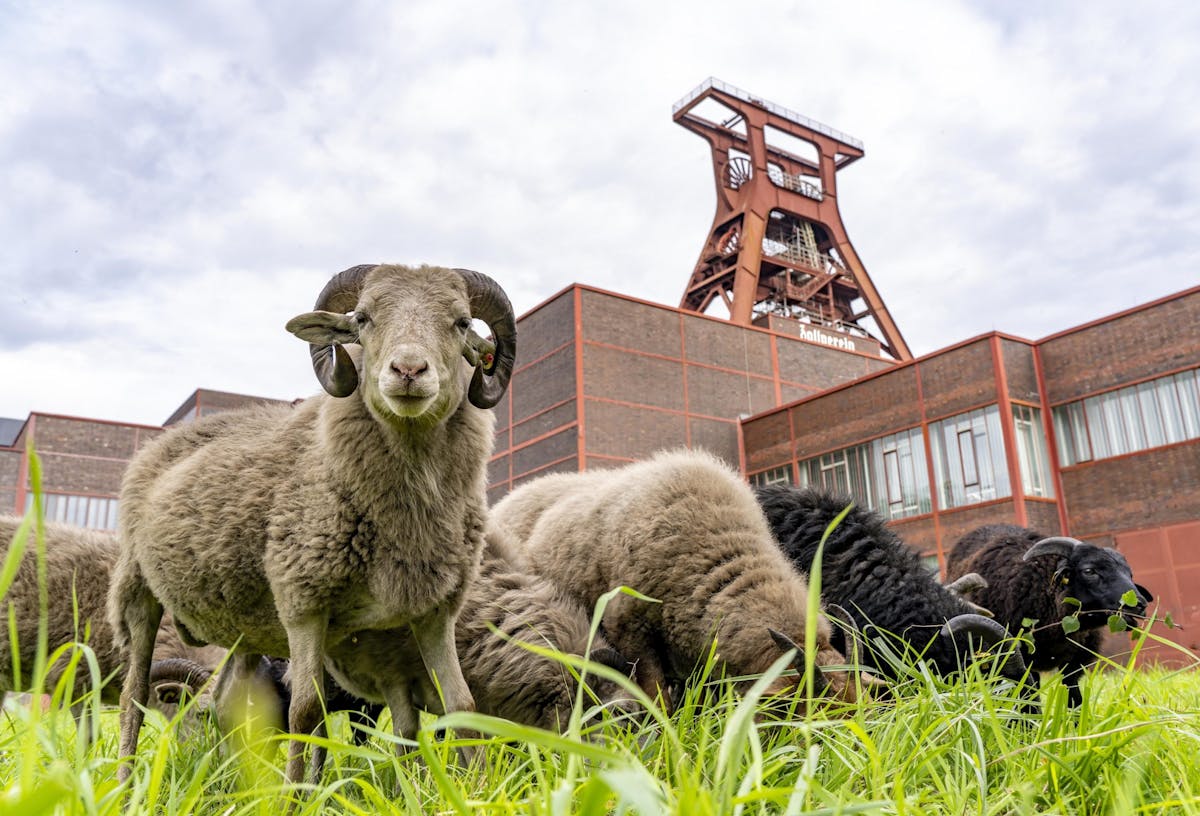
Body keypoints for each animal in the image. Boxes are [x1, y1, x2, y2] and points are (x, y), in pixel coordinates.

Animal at [107, 263, 516, 785]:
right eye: (362, 319)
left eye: (462, 322)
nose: (407, 371)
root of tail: (165, 440)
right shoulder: (302, 602)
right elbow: (305, 711)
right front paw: (295, 794)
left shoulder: (435, 610)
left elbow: (462, 707)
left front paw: (478, 789)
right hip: (137, 590)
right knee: (132, 698)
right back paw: (125, 785)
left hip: (240, 629)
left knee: (220, 703)